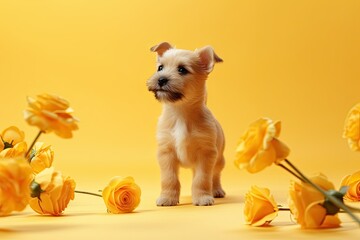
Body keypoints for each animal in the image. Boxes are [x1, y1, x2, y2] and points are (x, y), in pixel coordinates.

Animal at [146, 41, 225, 206]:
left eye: (182, 70)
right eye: (160, 68)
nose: (161, 79)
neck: (180, 114)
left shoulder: (206, 154)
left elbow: (202, 179)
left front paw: (202, 197)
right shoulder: (166, 153)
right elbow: (169, 178)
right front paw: (168, 198)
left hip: (219, 160)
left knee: (215, 176)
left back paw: (216, 190)